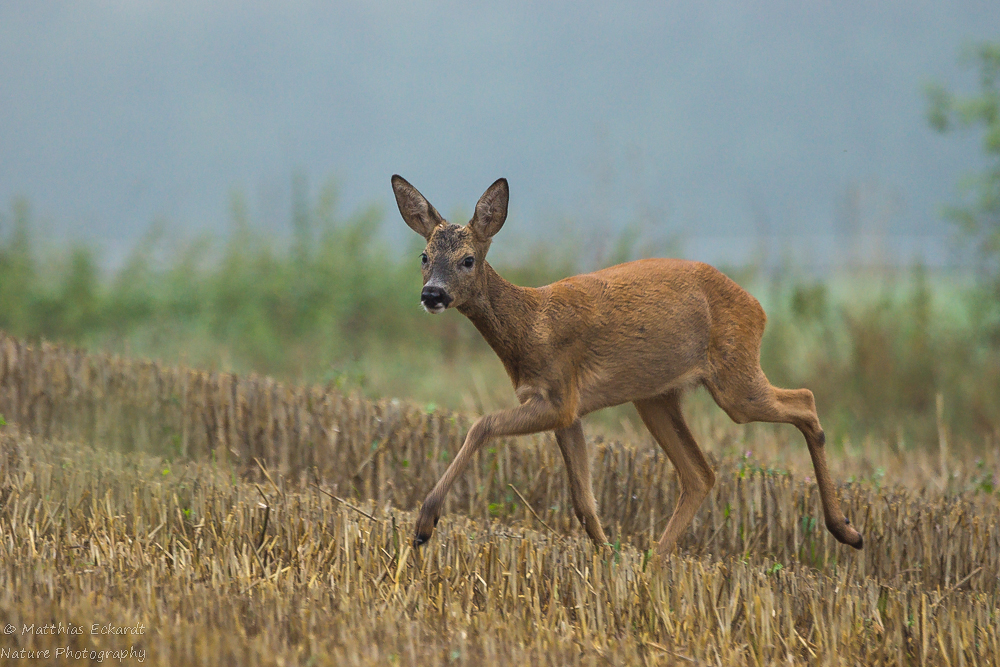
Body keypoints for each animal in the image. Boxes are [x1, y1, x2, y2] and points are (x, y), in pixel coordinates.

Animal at [388, 175, 860, 556]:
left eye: (468, 259)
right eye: (424, 256)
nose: (432, 294)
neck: (530, 325)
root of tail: (759, 308)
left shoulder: (559, 395)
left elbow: (481, 424)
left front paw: (425, 523)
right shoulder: (565, 410)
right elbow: (582, 498)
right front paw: (606, 557)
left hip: (735, 378)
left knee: (805, 400)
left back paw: (847, 531)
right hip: (656, 397)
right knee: (701, 474)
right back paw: (653, 565)